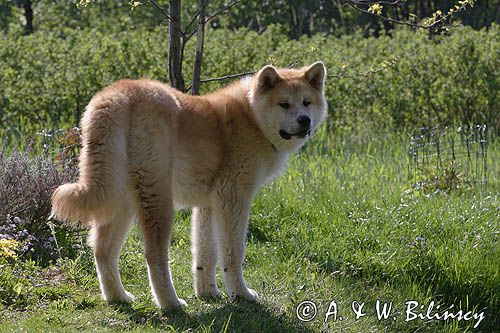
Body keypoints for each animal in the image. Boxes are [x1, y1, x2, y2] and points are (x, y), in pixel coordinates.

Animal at [50, 61, 328, 308]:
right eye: (284, 104)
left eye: (306, 102)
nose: (304, 120)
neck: (252, 118)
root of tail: (117, 93)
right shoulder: (234, 198)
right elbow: (233, 254)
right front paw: (241, 294)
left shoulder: (208, 205)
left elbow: (206, 254)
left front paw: (208, 293)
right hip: (158, 201)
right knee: (154, 256)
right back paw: (170, 303)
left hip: (121, 202)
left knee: (103, 251)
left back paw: (118, 297)